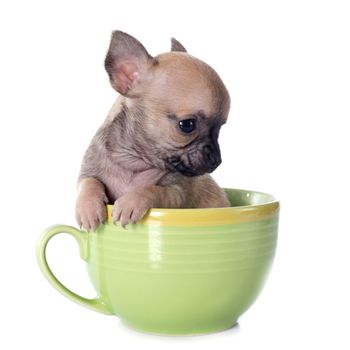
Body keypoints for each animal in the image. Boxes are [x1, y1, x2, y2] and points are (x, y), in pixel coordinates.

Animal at [75, 30, 231, 232]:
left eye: (219, 128)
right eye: (187, 125)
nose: (216, 160)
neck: (133, 162)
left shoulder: (177, 192)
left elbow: (155, 190)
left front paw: (132, 202)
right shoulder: (88, 172)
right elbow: (89, 183)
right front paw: (88, 208)